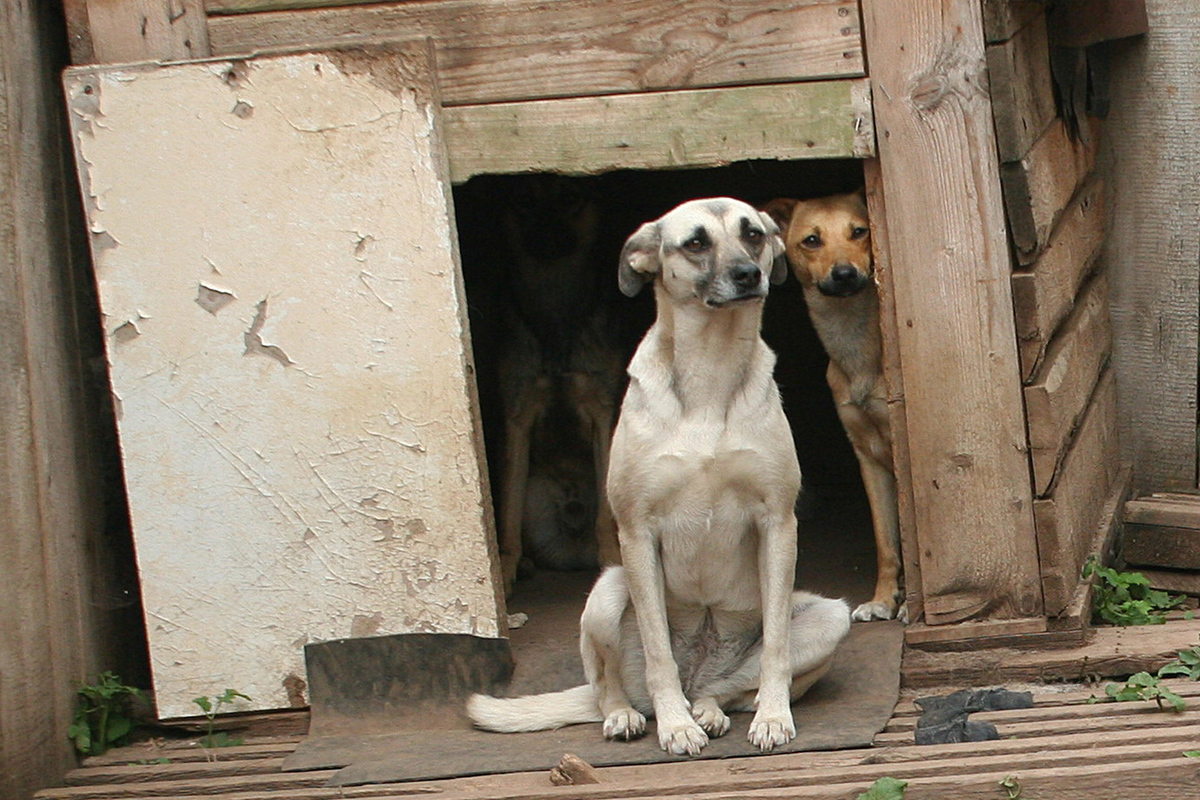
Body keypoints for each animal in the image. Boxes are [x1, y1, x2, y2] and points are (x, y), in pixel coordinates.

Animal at [463, 200, 849, 758]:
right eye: (696, 242)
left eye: (753, 235)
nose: (748, 274)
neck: (712, 367)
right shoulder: (636, 532)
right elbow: (658, 648)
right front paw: (674, 726)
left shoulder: (778, 523)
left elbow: (775, 644)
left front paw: (774, 716)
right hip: (605, 594)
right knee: (610, 686)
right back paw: (632, 714)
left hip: (830, 618)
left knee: (730, 687)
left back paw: (709, 709)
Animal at [763, 190, 902, 623]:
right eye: (812, 240)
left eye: (859, 231)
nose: (844, 274)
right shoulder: (868, 457)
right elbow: (886, 540)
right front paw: (884, 598)